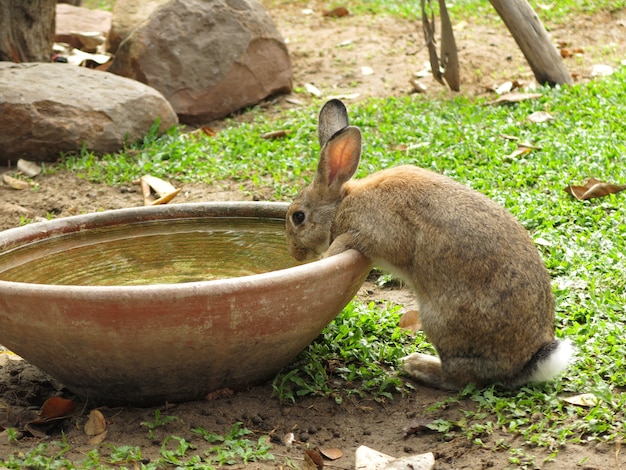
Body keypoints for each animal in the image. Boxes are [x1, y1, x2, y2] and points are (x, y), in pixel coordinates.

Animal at [286, 98, 572, 390]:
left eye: (298, 217)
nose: (295, 254)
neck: (342, 203)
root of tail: (525, 366)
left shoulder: (378, 232)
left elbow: (350, 241)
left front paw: (328, 256)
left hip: (440, 320)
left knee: (461, 378)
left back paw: (416, 365)